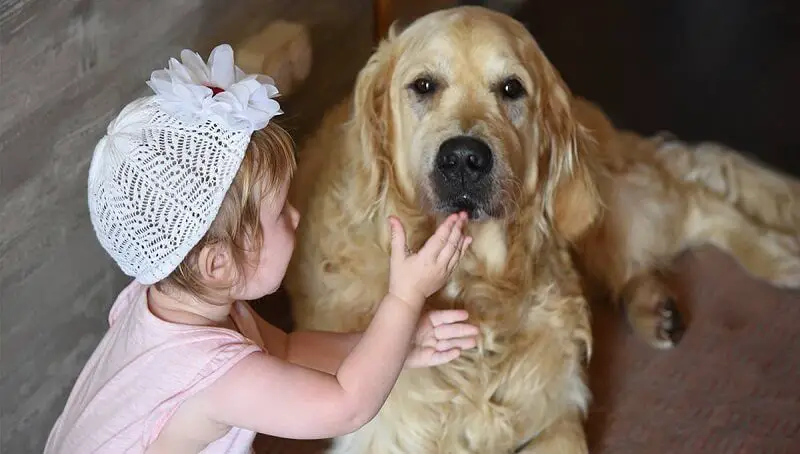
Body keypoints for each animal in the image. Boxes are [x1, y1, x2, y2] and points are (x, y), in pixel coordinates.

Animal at [282, 5, 800, 452]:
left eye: (512, 89)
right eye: (423, 85)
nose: (464, 159)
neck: (477, 289)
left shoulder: (558, 417)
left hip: (604, 204)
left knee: (699, 201)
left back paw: (777, 257)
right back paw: (655, 307)